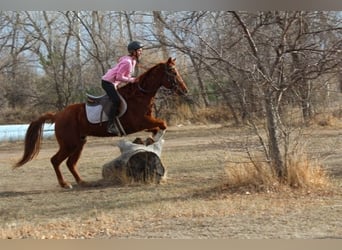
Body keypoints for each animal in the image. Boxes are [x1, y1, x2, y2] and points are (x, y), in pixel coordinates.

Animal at [13, 58, 188, 188]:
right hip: (69, 144)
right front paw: (153, 140)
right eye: (173, 72)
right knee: (55, 160)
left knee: (70, 163)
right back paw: (65, 184)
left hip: (79, 143)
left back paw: (81, 181)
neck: (140, 95)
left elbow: (158, 127)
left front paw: (149, 140)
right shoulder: (140, 122)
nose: (184, 90)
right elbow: (163, 124)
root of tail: (58, 115)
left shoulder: (146, 123)